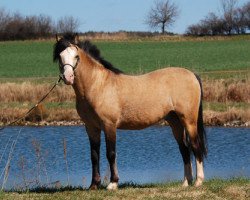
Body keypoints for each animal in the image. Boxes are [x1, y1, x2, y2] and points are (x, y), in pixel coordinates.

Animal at [53, 33, 207, 191]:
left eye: (76, 56)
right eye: (60, 56)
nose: (68, 77)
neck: (98, 85)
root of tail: (192, 74)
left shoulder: (109, 125)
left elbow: (111, 154)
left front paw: (113, 183)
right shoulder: (91, 127)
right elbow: (94, 155)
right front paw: (94, 185)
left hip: (189, 120)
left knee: (195, 146)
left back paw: (198, 181)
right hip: (175, 122)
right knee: (184, 149)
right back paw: (186, 182)